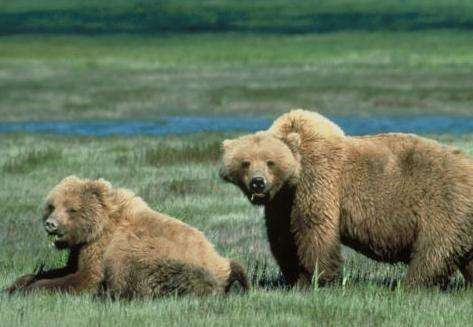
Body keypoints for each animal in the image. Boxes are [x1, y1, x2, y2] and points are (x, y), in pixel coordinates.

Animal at [5, 176, 249, 298]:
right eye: (52, 205)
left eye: (71, 209)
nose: (51, 224)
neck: (97, 228)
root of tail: (221, 263)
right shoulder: (81, 248)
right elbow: (65, 269)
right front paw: (16, 284)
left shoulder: (101, 247)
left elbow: (85, 278)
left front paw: (33, 288)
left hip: (159, 259)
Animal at [219, 109, 472, 288]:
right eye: (245, 162)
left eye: (270, 162)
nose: (258, 182)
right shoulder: (281, 201)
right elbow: (282, 237)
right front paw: (294, 277)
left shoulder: (318, 180)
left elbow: (314, 228)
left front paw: (319, 279)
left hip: (443, 202)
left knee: (432, 250)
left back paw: (409, 284)